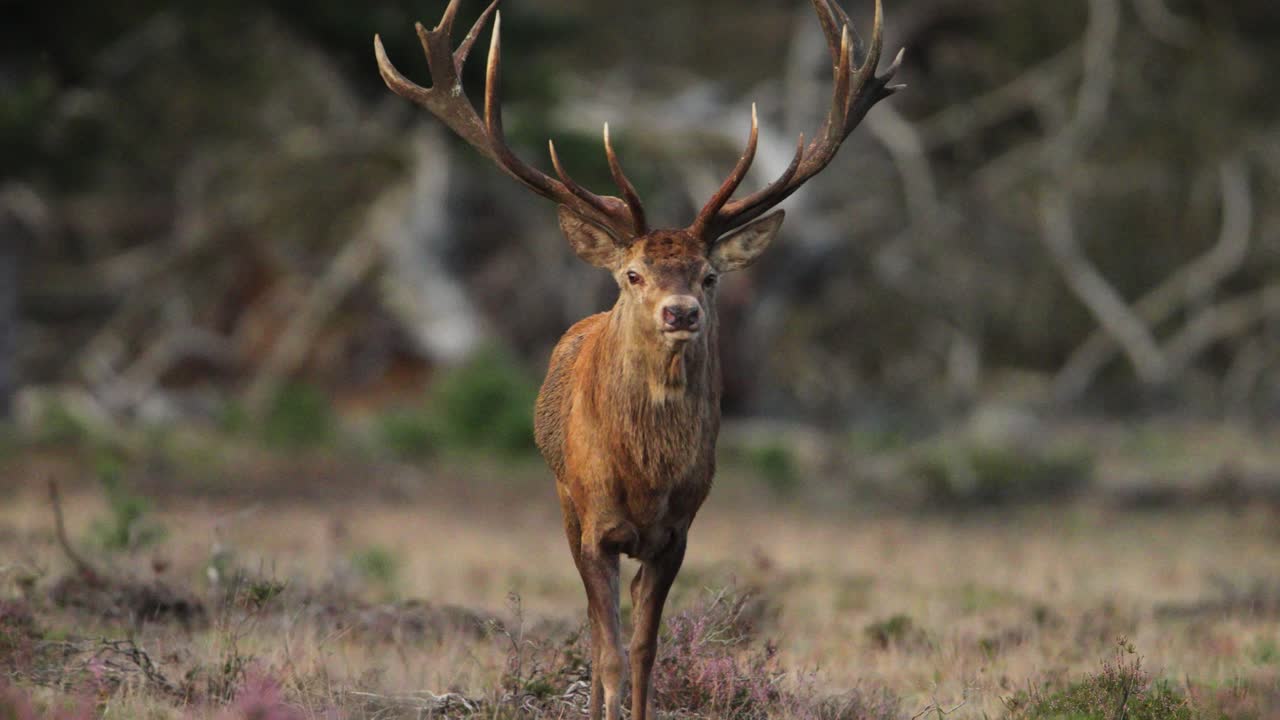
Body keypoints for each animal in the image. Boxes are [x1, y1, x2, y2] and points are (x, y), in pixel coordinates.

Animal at [374, 2, 901, 718]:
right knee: (595, 631)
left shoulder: (676, 533)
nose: (681, 312)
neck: (646, 476)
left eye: (709, 275)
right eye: (633, 274)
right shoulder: (594, 525)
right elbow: (608, 652)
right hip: (563, 501)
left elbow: (647, 650)